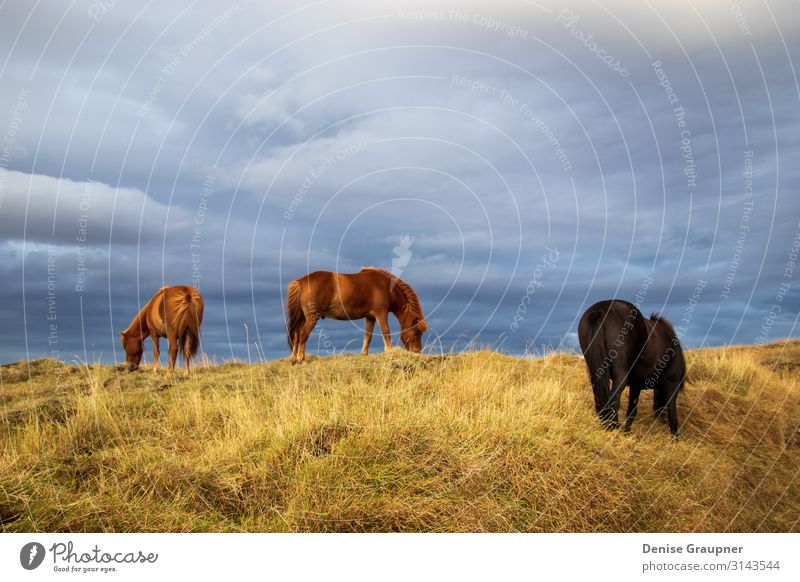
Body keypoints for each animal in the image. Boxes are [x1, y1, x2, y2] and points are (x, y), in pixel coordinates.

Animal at [284, 268, 428, 364]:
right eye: (416, 332)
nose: (418, 351)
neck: (386, 287)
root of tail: (300, 281)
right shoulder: (381, 314)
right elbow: (386, 333)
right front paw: (389, 352)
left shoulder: (370, 317)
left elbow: (368, 336)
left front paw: (364, 353)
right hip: (311, 318)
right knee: (303, 334)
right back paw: (301, 359)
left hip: (302, 318)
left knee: (296, 334)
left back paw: (293, 359)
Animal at [580, 302, 684, 438]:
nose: (659, 419)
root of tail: (600, 311)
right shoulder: (673, 383)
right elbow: (672, 413)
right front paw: (674, 438)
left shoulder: (636, 386)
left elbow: (631, 411)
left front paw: (627, 434)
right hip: (620, 376)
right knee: (613, 400)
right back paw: (612, 427)